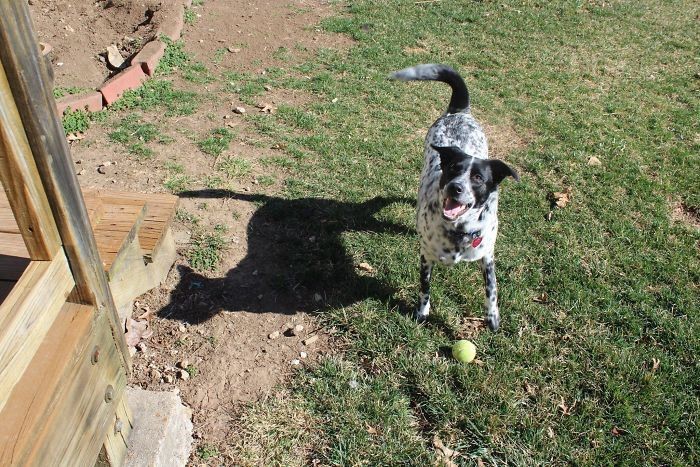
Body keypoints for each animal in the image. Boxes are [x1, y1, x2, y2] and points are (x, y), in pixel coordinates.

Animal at [388, 63, 520, 332]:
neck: (459, 231)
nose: (455, 188)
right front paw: (422, 313)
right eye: (452, 169)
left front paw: (492, 318)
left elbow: (492, 288)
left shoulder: (487, 255)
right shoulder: (426, 257)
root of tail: (459, 112)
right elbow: (425, 288)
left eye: (478, 177)